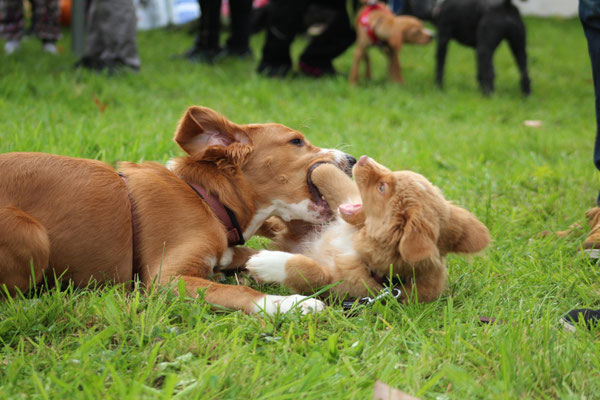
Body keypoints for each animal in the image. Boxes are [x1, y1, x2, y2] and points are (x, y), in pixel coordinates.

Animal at [0, 106, 356, 316]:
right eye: (296, 141)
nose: (352, 159)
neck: (206, 199)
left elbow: (240, 256)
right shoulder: (166, 279)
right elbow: (237, 290)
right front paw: (291, 303)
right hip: (29, 231)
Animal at [246, 156, 490, 304]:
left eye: (382, 188)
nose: (362, 158)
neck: (356, 240)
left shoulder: (343, 284)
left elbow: (310, 271)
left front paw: (266, 262)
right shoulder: (348, 198)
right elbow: (335, 180)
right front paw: (321, 165)